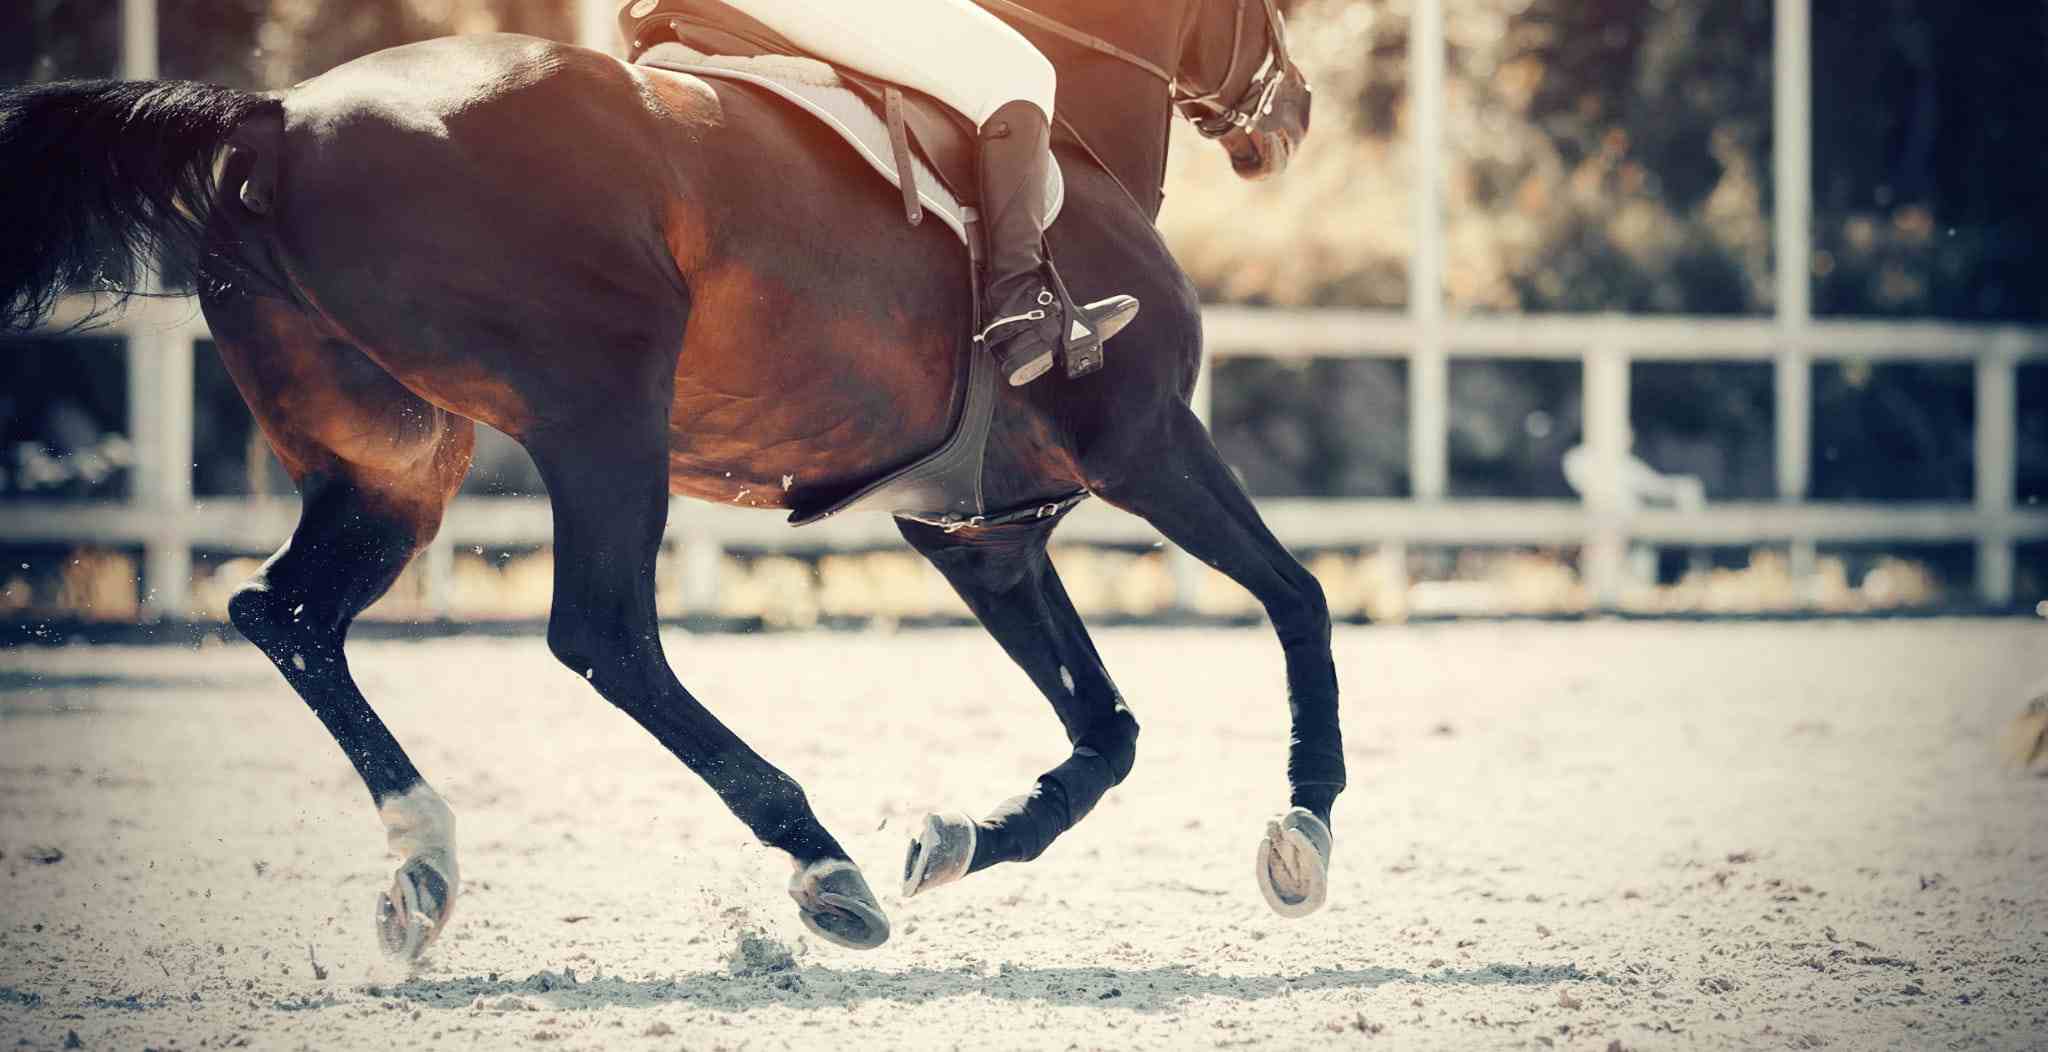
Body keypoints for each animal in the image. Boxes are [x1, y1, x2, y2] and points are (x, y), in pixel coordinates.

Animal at [0, 0, 1342, 956]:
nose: (1293, 115)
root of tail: (277, 115)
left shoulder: (980, 531)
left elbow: (1106, 728)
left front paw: (961, 835)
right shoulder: (1146, 440)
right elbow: (1296, 598)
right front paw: (1304, 828)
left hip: (389, 457)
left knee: (284, 612)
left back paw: (424, 863)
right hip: (604, 411)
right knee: (603, 633)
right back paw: (817, 858)